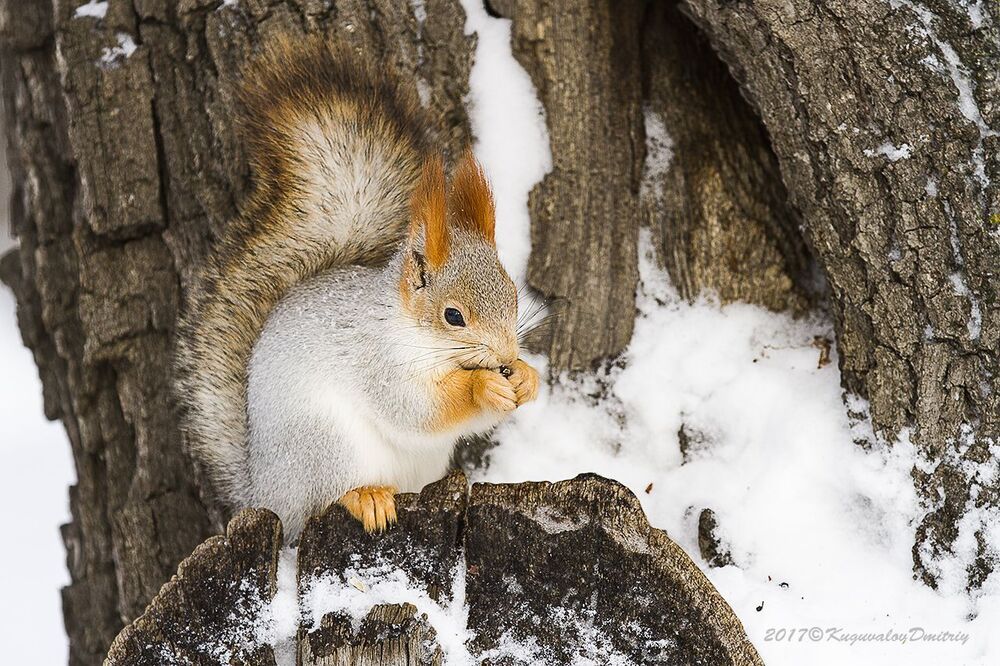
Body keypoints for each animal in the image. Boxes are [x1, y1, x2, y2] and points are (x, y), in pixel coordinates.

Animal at [175, 38, 540, 539]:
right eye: (453, 316)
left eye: (513, 296)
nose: (505, 357)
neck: (411, 329)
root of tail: (265, 492)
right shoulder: (376, 360)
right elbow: (416, 408)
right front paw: (483, 387)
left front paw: (526, 377)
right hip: (325, 445)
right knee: (324, 498)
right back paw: (364, 496)